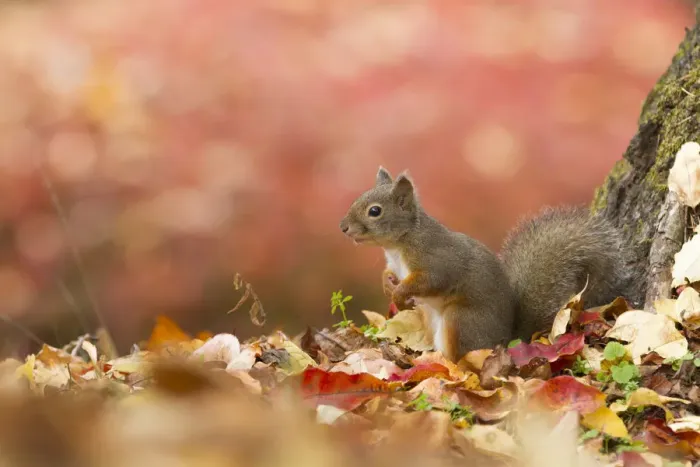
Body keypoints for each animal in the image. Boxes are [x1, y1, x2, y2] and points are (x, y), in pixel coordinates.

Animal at [339, 167, 633, 362]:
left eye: (375, 211)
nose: (343, 227)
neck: (400, 243)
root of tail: (506, 340)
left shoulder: (436, 259)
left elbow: (431, 280)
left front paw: (400, 294)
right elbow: (390, 273)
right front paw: (388, 285)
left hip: (460, 320)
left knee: (462, 359)